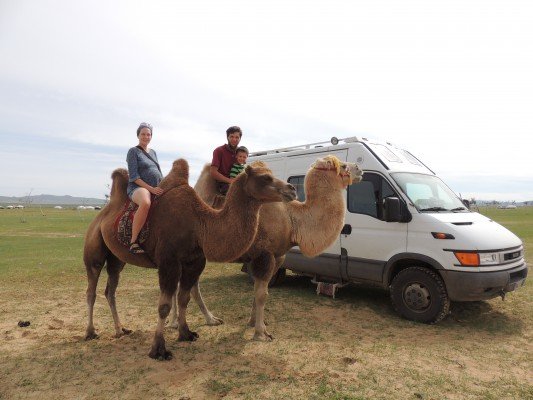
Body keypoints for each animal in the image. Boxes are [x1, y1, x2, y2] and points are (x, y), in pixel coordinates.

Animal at [85, 159, 298, 360]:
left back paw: (121, 330)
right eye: (265, 178)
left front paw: (186, 333)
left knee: (110, 290)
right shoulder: (168, 262)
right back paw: (91, 332)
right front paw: (159, 350)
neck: (199, 225)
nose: (292, 189)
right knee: (91, 289)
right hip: (93, 252)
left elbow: (184, 298)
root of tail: (101, 214)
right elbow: (164, 306)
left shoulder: (194, 261)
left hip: (116, 259)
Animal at [174, 156, 362, 340]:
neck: (292, 220)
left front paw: (254, 322)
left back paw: (211, 319)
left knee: (192, 285)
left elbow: (258, 290)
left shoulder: (277, 256)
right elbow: (261, 294)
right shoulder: (264, 254)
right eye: (343, 165)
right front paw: (261, 333)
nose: (359, 169)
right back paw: (176, 323)